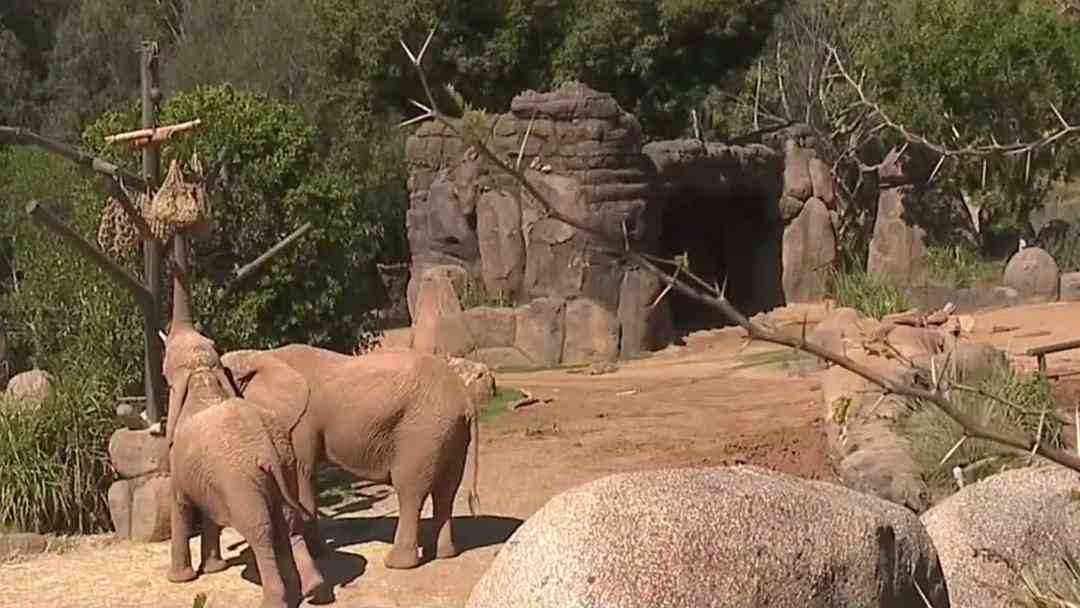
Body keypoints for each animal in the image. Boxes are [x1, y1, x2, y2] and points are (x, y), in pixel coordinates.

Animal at [168, 394, 325, 608]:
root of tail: (267, 446)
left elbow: (181, 507)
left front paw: (180, 579)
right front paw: (214, 569)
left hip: (241, 479)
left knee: (260, 531)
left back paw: (273, 602)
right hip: (286, 463)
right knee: (289, 521)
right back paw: (312, 588)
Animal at [219, 345, 480, 570]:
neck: (260, 356)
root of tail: (465, 397)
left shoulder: (301, 422)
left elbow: (301, 474)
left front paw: (317, 555)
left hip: (422, 431)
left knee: (410, 490)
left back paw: (396, 564)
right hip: (450, 432)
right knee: (446, 491)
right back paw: (445, 554)